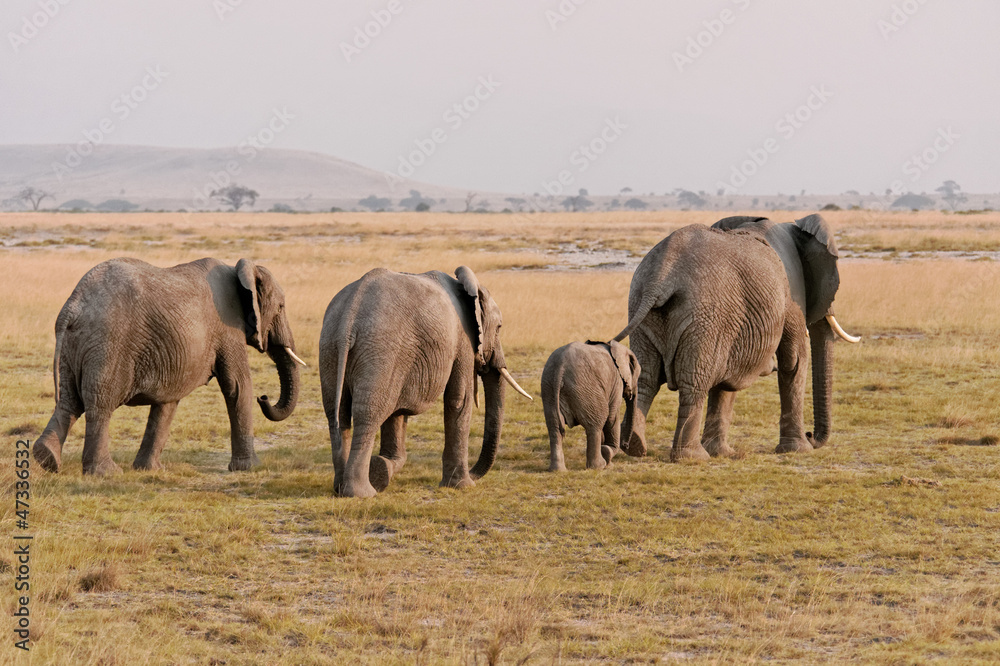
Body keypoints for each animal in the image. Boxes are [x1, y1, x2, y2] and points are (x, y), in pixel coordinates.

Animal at [32, 257, 306, 475]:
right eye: (280, 307)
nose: (264, 398)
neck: (239, 269)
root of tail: (72, 306)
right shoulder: (228, 327)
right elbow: (237, 386)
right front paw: (249, 468)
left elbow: (168, 400)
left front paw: (148, 470)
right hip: (108, 344)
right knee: (99, 405)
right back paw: (106, 473)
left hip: (74, 348)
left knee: (69, 402)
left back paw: (46, 459)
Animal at [319, 266, 532, 498]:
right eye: (499, 327)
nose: (475, 475)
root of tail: (350, 314)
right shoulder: (463, 339)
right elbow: (459, 400)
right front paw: (462, 486)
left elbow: (397, 413)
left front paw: (384, 467)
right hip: (381, 351)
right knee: (368, 413)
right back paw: (361, 493)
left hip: (331, 348)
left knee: (337, 413)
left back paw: (341, 488)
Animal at [541, 340, 640, 472]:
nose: (625, 445)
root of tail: (560, 367)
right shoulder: (617, 383)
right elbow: (612, 417)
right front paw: (608, 456)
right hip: (586, 390)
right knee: (596, 425)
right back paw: (598, 466)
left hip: (549, 389)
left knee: (554, 427)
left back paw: (558, 470)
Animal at [613, 214, 859, 462]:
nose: (811, 435)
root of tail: (660, 275)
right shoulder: (792, 294)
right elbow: (794, 361)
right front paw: (798, 450)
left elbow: (727, 376)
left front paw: (721, 453)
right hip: (704, 316)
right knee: (694, 382)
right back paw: (693, 457)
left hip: (644, 307)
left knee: (647, 378)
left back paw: (635, 446)